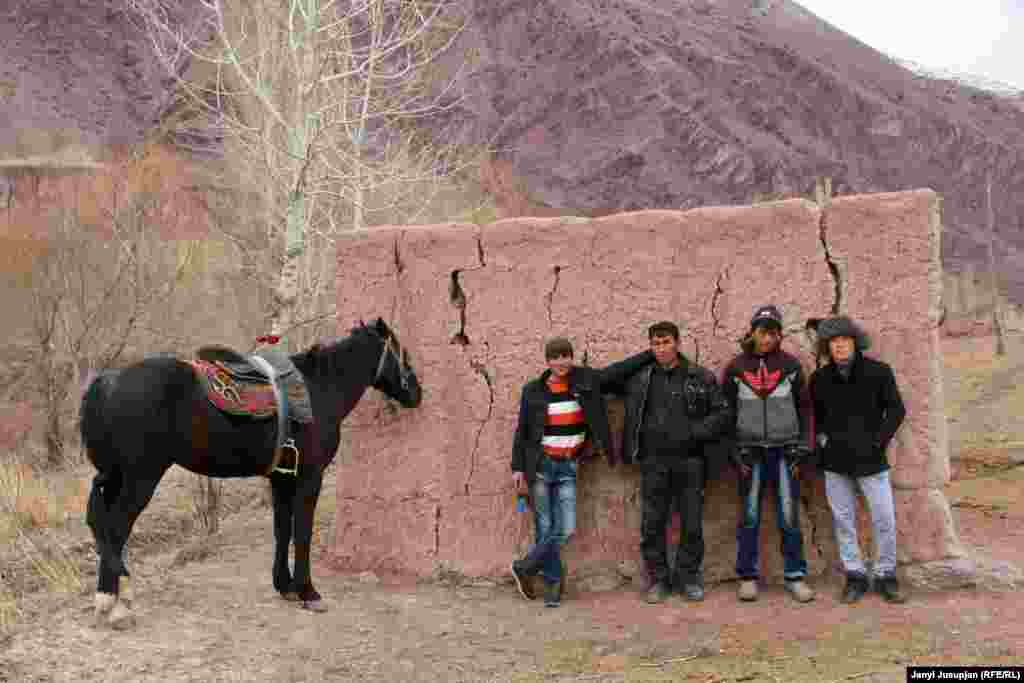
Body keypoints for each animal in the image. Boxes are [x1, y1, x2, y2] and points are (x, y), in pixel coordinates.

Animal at [75, 317, 419, 626]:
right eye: (402, 352)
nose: (417, 392)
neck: (320, 388)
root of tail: (105, 382)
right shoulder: (310, 477)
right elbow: (302, 532)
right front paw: (308, 592)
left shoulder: (282, 479)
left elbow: (282, 529)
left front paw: (285, 586)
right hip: (140, 478)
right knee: (116, 528)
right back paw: (116, 602)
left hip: (116, 476)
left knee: (101, 524)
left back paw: (110, 597)